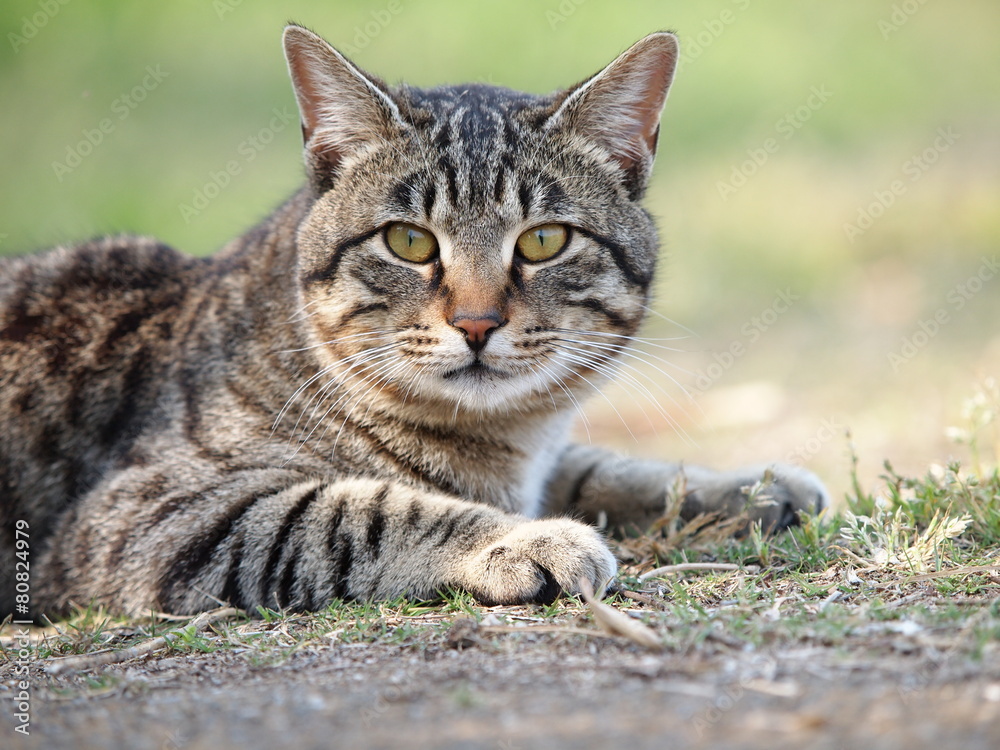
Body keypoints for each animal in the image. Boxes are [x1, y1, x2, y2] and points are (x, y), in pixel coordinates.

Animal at [0, 26, 828, 620]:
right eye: (407, 241)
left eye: (543, 240)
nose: (477, 322)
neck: (502, 442)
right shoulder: (150, 514)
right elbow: (360, 510)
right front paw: (524, 539)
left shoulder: (546, 457)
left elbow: (603, 466)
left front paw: (750, 487)